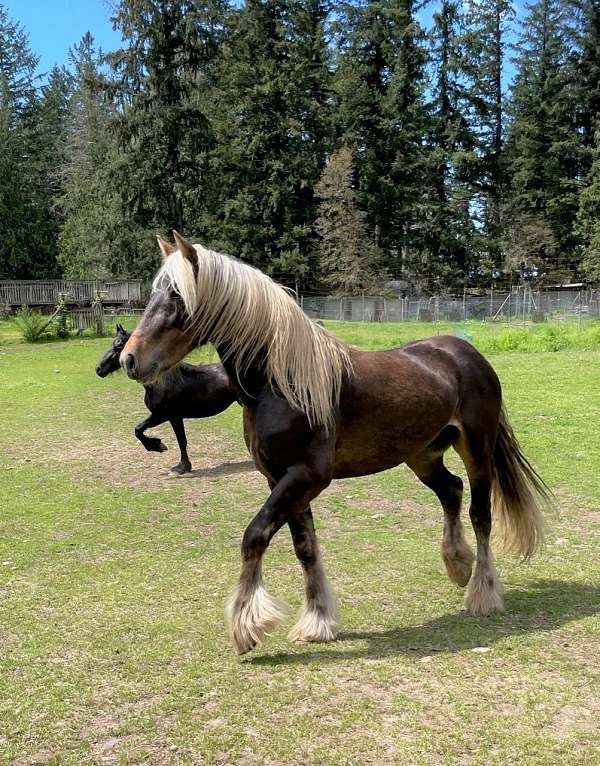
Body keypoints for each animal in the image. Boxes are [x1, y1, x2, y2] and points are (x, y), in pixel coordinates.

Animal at [95, 324, 237, 474]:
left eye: (118, 346)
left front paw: (165, 452)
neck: (161, 384)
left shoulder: (166, 416)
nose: (98, 369)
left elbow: (145, 431)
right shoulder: (170, 417)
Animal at [118, 232, 552, 656]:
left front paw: (247, 626)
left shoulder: (305, 477)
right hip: (422, 454)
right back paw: (458, 565)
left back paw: (483, 593)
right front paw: (317, 623)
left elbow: (254, 536)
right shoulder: (281, 479)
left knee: (481, 514)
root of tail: (467, 352)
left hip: (476, 448)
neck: (283, 383)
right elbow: (305, 547)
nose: (129, 359)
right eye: (155, 293)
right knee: (451, 490)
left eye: (177, 297)